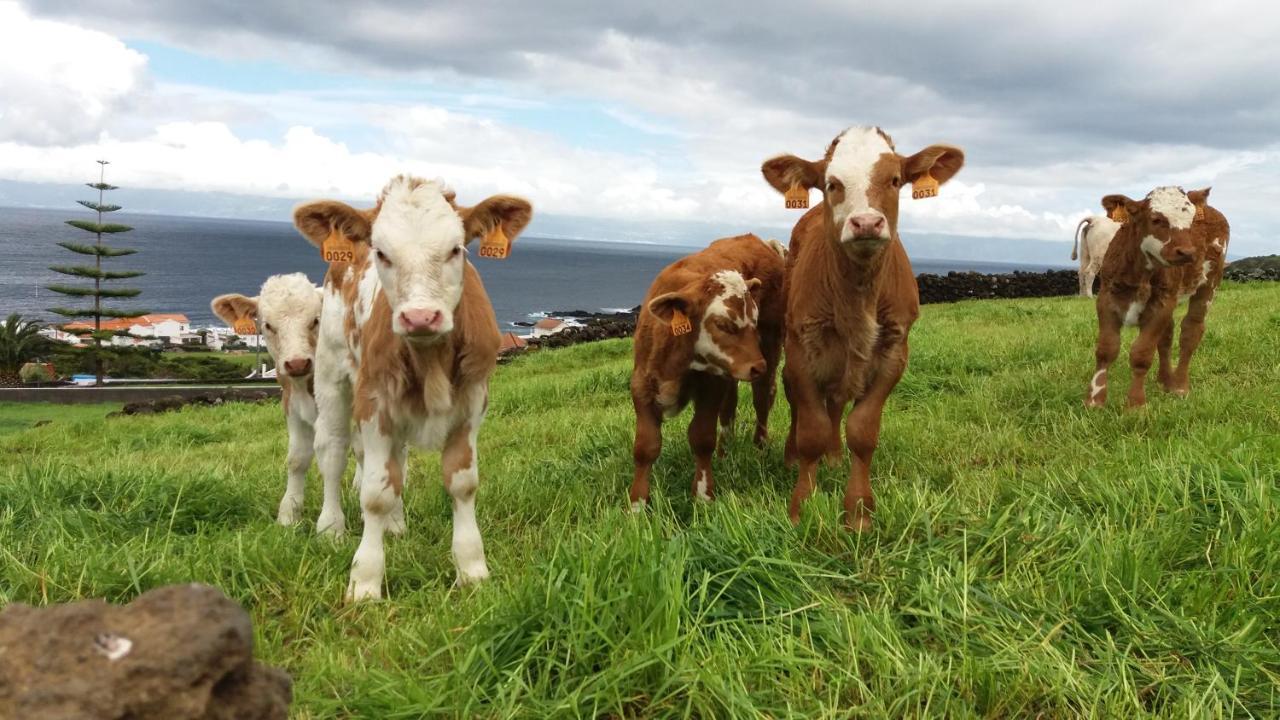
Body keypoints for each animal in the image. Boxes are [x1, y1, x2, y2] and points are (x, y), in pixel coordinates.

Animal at [212, 271, 337, 530]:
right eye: (268, 325)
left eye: (315, 320)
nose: (297, 364)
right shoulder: (292, 406)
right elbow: (297, 459)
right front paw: (289, 515)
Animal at [291, 175, 529, 599]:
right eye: (382, 252)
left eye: (456, 249)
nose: (420, 316)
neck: (429, 358)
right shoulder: (374, 401)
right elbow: (374, 493)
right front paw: (365, 581)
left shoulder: (473, 402)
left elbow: (462, 483)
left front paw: (472, 568)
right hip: (331, 372)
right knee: (333, 453)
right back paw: (331, 527)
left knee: (396, 461)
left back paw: (396, 526)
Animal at [624, 234, 783, 504]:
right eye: (723, 324)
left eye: (753, 321)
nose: (757, 366)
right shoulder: (642, 384)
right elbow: (646, 445)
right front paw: (638, 503)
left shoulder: (711, 386)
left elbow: (701, 437)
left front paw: (702, 496)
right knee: (730, 405)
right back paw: (725, 452)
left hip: (771, 344)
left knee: (763, 397)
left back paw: (760, 447)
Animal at [757, 124, 962, 527]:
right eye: (832, 183)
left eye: (895, 180)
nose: (866, 222)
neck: (858, 293)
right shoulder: (802, 348)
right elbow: (811, 429)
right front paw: (802, 505)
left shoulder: (895, 351)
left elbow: (862, 430)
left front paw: (859, 512)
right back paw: (793, 457)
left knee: (836, 402)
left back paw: (834, 458)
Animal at [1085, 184, 1223, 407]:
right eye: (1156, 219)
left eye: (1192, 222)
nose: (1187, 252)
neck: (1137, 275)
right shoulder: (1106, 300)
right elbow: (1106, 349)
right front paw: (1094, 400)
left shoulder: (1161, 305)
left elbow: (1142, 353)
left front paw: (1135, 404)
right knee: (1167, 337)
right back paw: (1165, 381)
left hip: (1209, 285)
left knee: (1190, 331)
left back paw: (1179, 386)